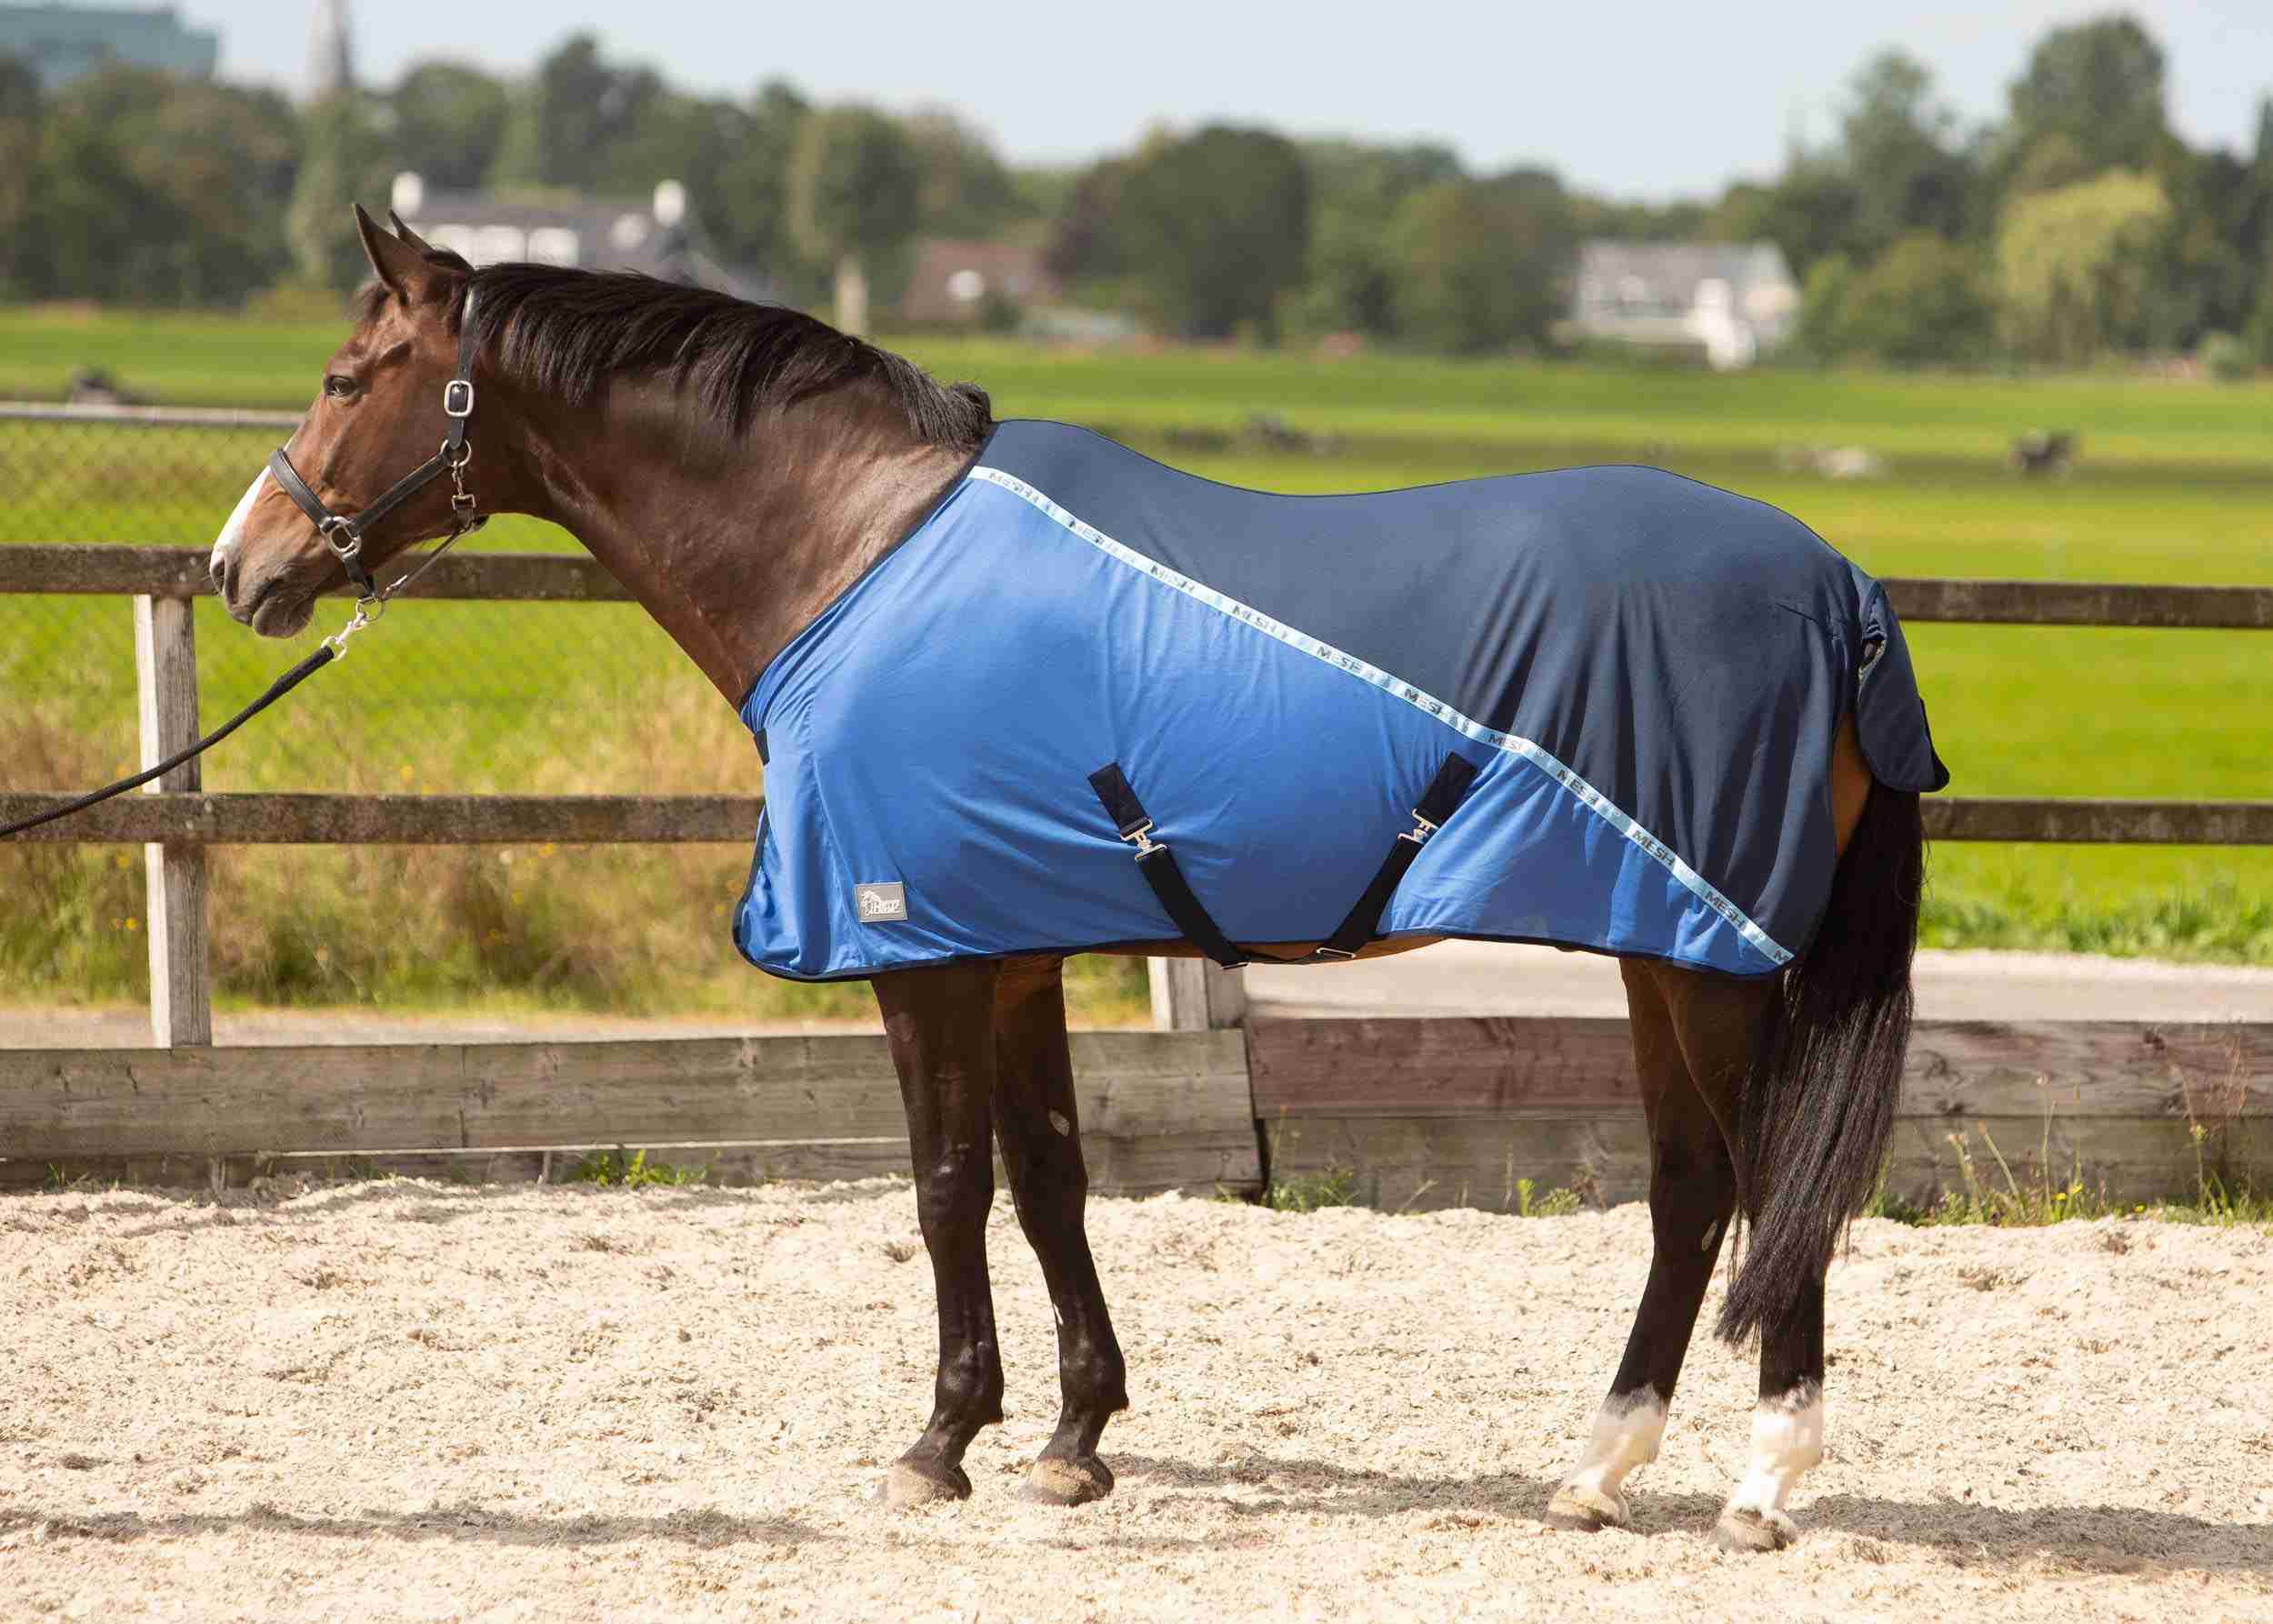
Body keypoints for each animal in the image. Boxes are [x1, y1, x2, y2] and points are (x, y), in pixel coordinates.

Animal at [209, 206, 1943, 1551]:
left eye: (345, 377)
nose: (242, 569)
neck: (858, 553)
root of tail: (1842, 589)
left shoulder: (920, 950)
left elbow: (946, 1183)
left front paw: (938, 1446)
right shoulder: (1017, 942)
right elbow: (1050, 1176)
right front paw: (1071, 1440)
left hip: (1712, 959)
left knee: (1757, 1182)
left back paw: (1758, 1486)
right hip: (1664, 949)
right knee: (1693, 1190)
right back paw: (1600, 1470)